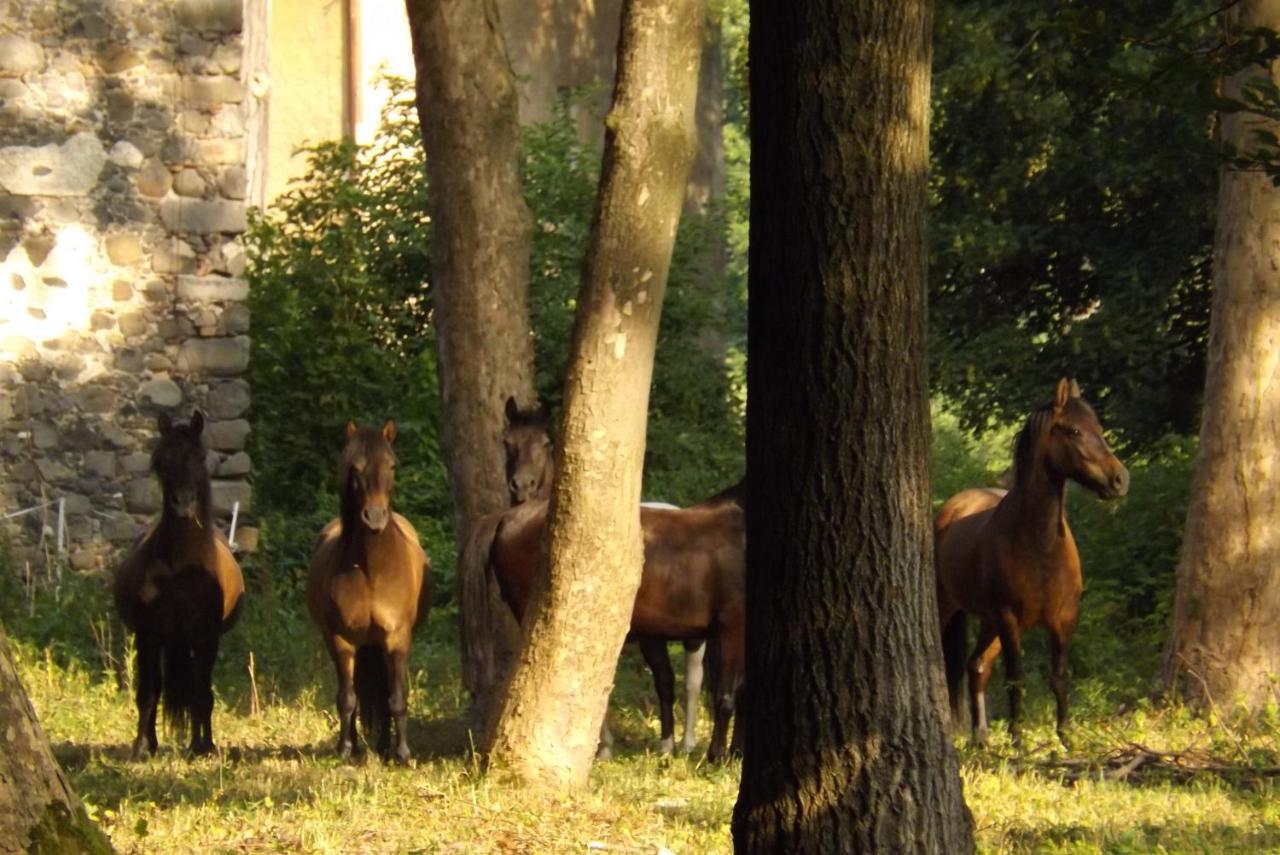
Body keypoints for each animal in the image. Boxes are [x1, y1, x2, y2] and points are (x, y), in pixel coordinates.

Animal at [115, 409, 247, 757]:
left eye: (200, 457)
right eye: (161, 461)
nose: (183, 505)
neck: (181, 568)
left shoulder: (207, 639)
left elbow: (203, 694)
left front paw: (205, 746)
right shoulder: (148, 636)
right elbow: (148, 693)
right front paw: (141, 747)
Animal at [309, 419, 435, 762]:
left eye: (392, 465)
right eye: (354, 467)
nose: (375, 518)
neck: (371, 571)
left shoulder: (397, 638)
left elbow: (395, 698)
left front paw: (403, 753)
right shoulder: (342, 641)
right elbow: (347, 698)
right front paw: (345, 750)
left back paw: (384, 746)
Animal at [931, 376, 1131, 742]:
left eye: (1099, 428)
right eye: (1074, 431)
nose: (1120, 479)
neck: (1041, 547)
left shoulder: (1064, 619)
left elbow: (1060, 677)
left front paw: (1065, 737)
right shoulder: (1010, 619)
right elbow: (1017, 677)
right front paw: (1018, 738)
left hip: (989, 622)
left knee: (977, 666)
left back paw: (981, 738)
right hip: (954, 609)